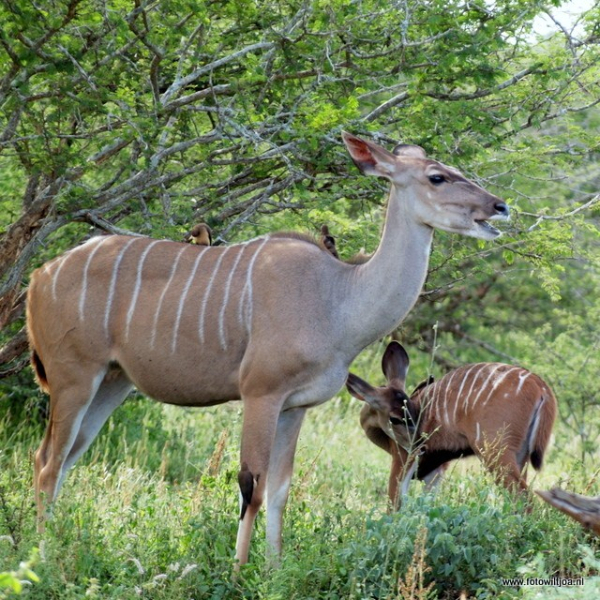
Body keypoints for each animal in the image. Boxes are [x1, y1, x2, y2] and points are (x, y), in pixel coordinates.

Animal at [25, 132, 508, 568]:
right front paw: (239, 574)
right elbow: (250, 486)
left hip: (112, 382)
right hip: (74, 379)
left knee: (63, 459)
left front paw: (274, 572)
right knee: (48, 462)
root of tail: (39, 276)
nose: (499, 206)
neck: (337, 296)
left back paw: (61, 546)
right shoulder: (261, 394)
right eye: (437, 177)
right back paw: (44, 557)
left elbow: (279, 490)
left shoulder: (296, 407)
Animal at [346, 344, 556, 508]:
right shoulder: (436, 471)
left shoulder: (402, 459)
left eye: (410, 415)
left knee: (524, 498)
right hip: (521, 455)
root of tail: (541, 387)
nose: (420, 446)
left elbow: (395, 503)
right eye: (396, 418)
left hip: (494, 451)